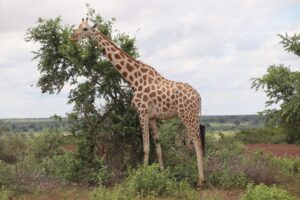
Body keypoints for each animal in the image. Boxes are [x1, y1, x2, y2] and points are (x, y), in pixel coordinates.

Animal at [71, 18, 205, 185]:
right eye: (78, 27)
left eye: (85, 29)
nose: (73, 37)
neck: (134, 79)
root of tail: (198, 97)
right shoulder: (153, 117)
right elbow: (158, 147)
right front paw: (162, 174)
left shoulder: (142, 112)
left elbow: (146, 147)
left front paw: (143, 175)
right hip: (193, 115)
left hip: (187, 115)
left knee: (197, 142)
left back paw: (200, 180)